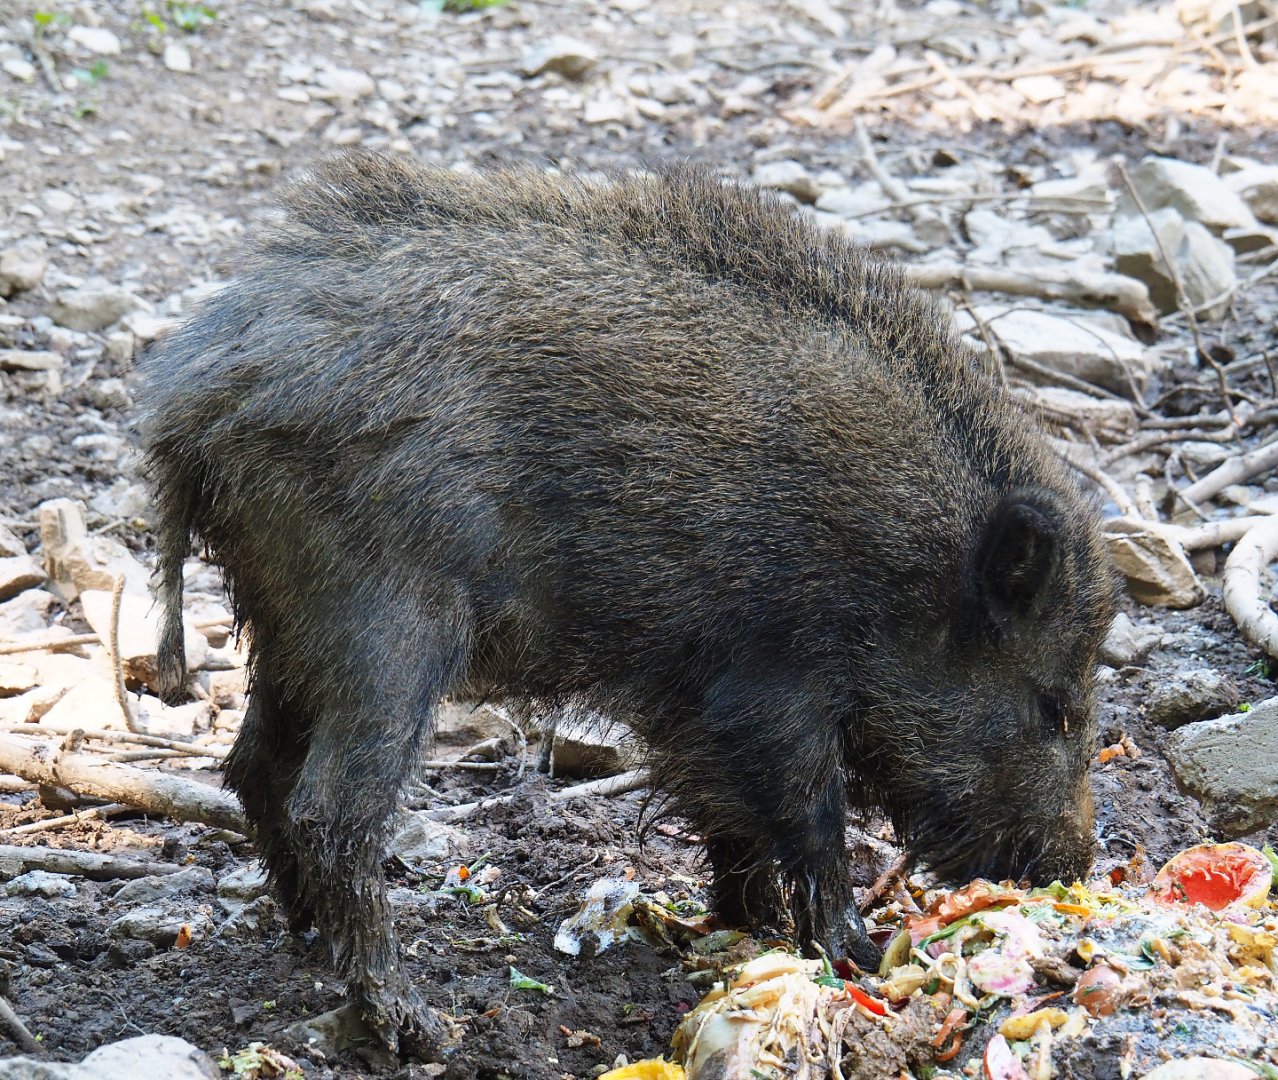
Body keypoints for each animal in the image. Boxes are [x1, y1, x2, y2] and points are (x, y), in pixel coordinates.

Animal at [137, 151, 1117, 1054]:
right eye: (1055, 706)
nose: (1073, 864)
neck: (906, 570)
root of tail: (191, 404)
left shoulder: (695, 701)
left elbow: (728, 813)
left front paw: (751, 928)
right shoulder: (775, 679)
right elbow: (812, 816)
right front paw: (851, 952)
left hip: (287, 622)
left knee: (254, 767)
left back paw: (309, 943)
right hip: (383, 622)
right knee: (331, 809)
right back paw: (414, 1027)